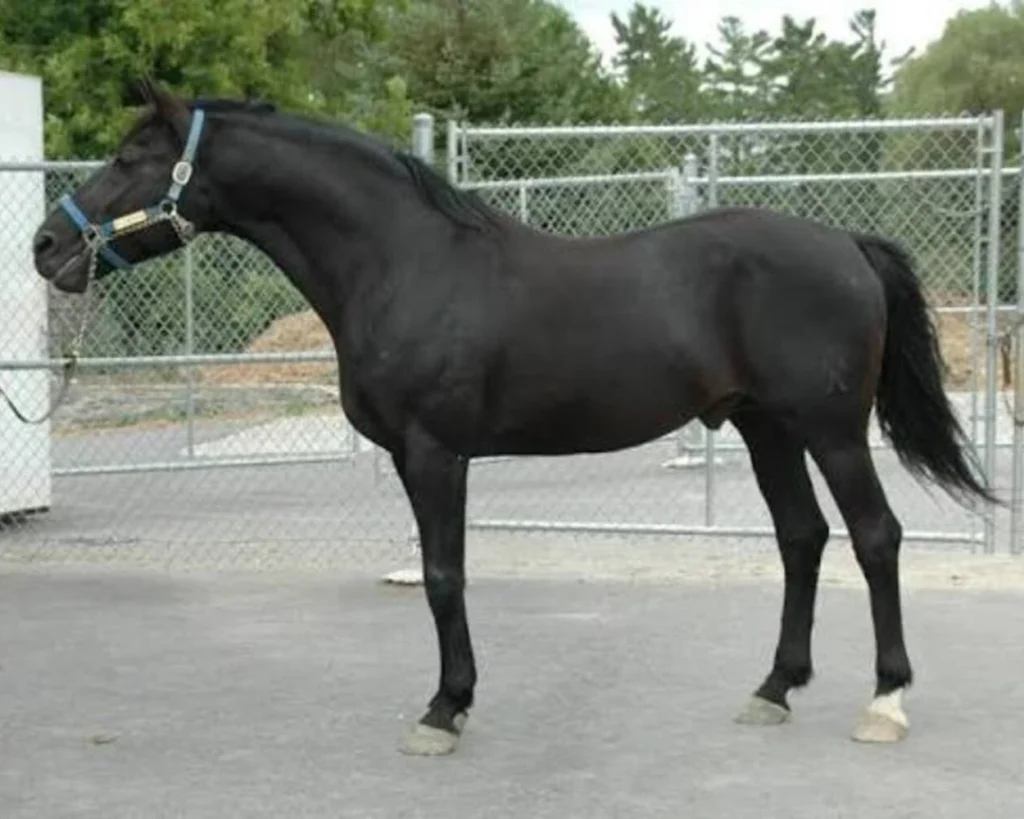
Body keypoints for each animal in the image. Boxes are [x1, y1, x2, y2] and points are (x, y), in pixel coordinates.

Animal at [32, 79, 996, 756]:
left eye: (131, 155)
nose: (47, 245)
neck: (402, 261)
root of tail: (846, 245)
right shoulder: (421, 456)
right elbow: (442, 575)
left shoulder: (435, 453)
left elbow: (442, 577)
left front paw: (444, 708)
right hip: (767, 427)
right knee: (802, 538)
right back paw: (773, 689)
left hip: (830, 429)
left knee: (875, 536)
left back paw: (885, 701)